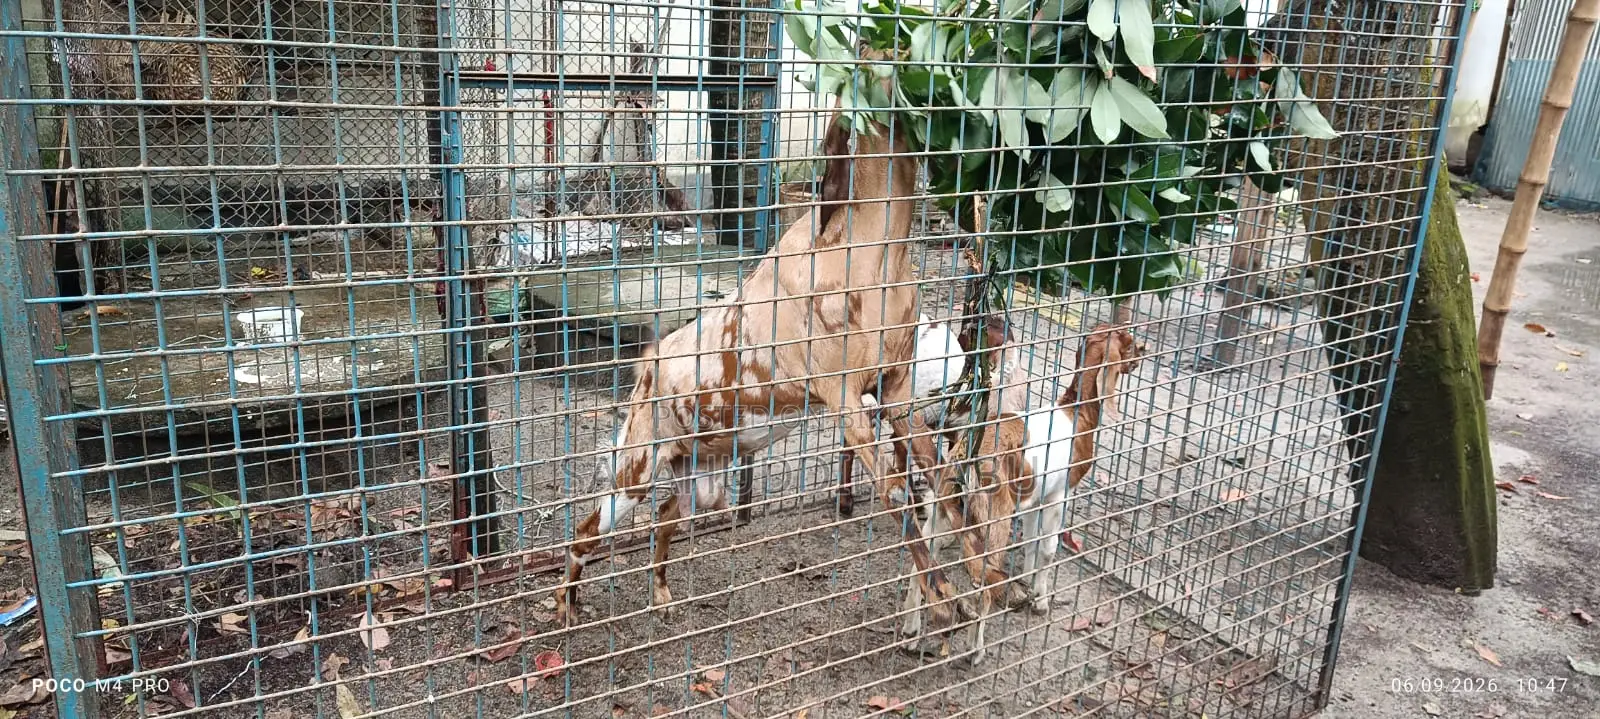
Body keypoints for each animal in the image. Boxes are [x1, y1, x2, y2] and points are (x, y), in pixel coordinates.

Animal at [553, 112, 968, 628]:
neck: (872, 245)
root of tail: (645, 370)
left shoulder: (895, 393)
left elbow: (942, 478)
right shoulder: (846, 400)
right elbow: (895, 495)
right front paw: (943, 593)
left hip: (700, 480)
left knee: (666, 517)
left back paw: (662, 594)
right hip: (636, 470)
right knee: (585, 532)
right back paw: (566, 605)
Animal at [899, 324, 1144, 665]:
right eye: (1128, 342)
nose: (1144, 351)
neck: (1075, 413)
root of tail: (966, 460)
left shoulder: (1034, 500)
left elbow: (1030, 543)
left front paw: (1026, 581)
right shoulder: (1059, 495)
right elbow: (1049, 548)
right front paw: (1040, 599)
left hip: (943, 514)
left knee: (920, 566)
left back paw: (910, 633)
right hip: (994, 518)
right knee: (983, 578)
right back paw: (976, 649)